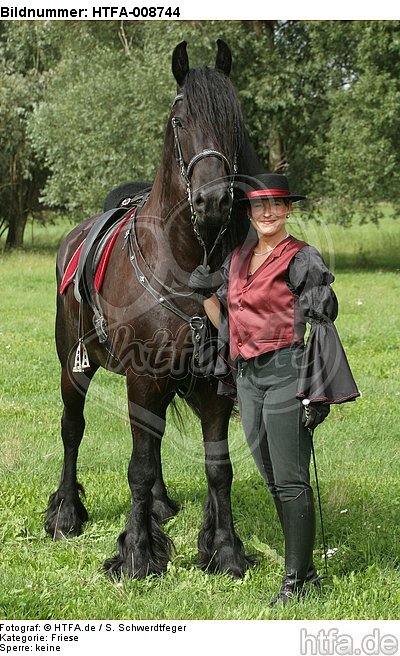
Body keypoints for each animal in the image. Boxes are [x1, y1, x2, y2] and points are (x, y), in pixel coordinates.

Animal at [45, 38, 260, 576]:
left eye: (234, 121)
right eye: (179, 120)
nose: (212, 201)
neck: (182, 264)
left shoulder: (211, 385)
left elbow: (218, 467)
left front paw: (226, 551)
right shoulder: (142, 378)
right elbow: (137, 467)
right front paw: (138, 553)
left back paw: (160, 506)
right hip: (73, 366)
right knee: (72, 430)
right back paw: (65, 514)